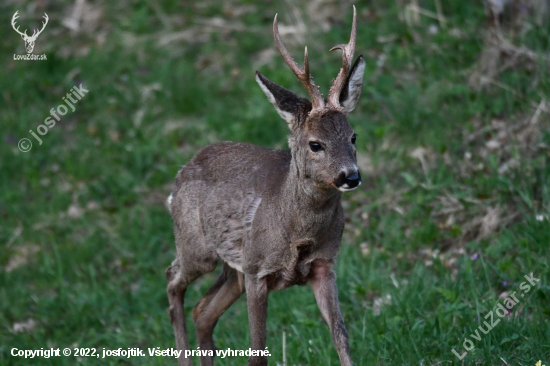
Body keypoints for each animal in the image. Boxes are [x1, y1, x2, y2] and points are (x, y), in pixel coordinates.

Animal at [168, 6, 366, 366]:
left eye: (353, 136)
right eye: (315, 144)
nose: (351, 176)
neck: (296, 228)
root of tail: (180, 174)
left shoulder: (324, 265)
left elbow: (342, 338)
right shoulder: (257, 271)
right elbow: (257, 352)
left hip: (232, 268)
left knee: (202, 311)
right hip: (196, 246)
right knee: (172, 280)